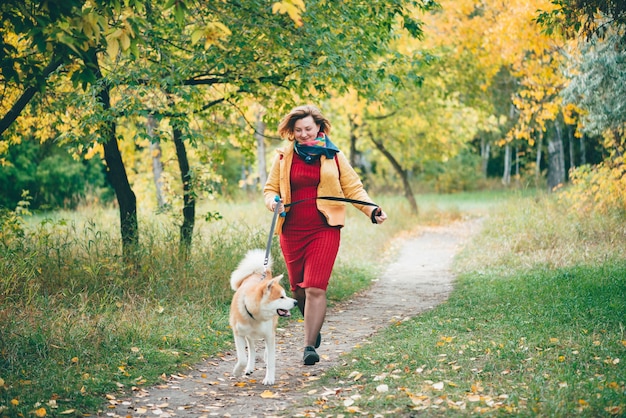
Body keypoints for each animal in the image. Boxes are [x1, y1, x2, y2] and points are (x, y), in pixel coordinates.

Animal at [229, 248, 298, 386]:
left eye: (285, 295)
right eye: (281, 297)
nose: (296, 302)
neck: (254, 316)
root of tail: (258, 273)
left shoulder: (269, 334)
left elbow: (271, 361)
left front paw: (269, 378)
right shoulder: (238, 334)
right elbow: (242, 358)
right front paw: (237, 371)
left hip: (271, 329)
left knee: (266, 348)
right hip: (248, 335)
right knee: (251, 348)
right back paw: (249, 367)